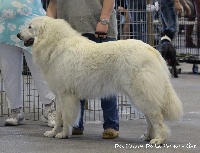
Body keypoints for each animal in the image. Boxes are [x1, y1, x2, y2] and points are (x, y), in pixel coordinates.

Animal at [18, 16, 183, 145]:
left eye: (30, 27)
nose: (18, 34)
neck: (55, 44)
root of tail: (153, 51)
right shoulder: (59, 95)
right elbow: (59, 117)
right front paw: (53, 133)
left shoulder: (66, 95)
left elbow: (66, 116)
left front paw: (64, 134)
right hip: (138, 95)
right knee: (149, 117)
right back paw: (148, 136)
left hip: (140, 93)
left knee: (156, 116)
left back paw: (159, 139)